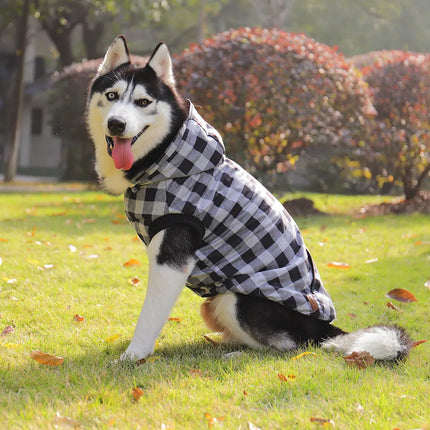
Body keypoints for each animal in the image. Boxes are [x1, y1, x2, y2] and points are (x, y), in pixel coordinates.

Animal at [86, 35, 410, 362]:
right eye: (112, 96)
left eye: (143, 102)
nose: (116, 124)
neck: (165, 156)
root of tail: (322, 327)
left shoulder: (171, 256)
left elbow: (149, 314)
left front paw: (133, 357)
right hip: (214, 304)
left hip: (236, 301)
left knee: (287, 345)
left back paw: (237, 355)